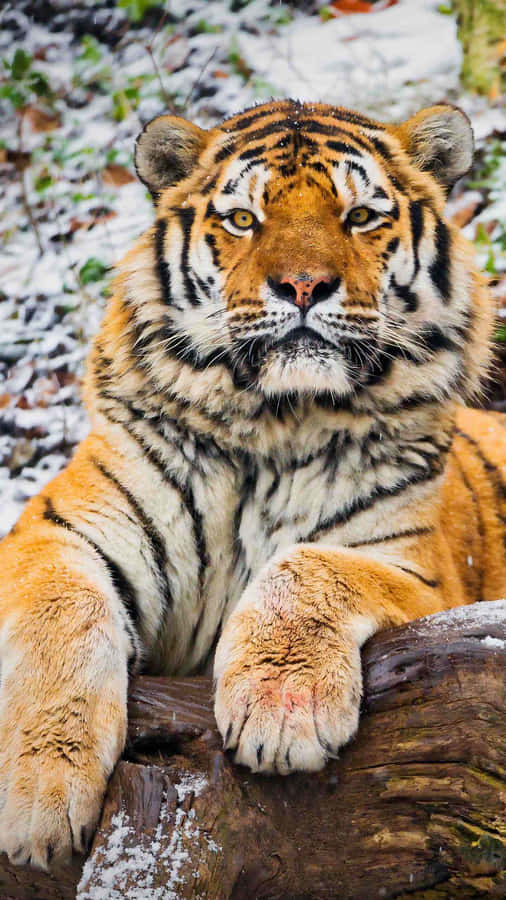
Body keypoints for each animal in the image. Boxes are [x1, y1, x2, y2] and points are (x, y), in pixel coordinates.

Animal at [0, 98, 503, 871]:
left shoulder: (420, 568)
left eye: (361, 216)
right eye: (243, 219)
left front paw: (282, 707)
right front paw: (38, 798)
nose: (302, 287)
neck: (278, 423)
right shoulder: (59, 530)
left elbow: (308, 566)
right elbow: (64, 616)